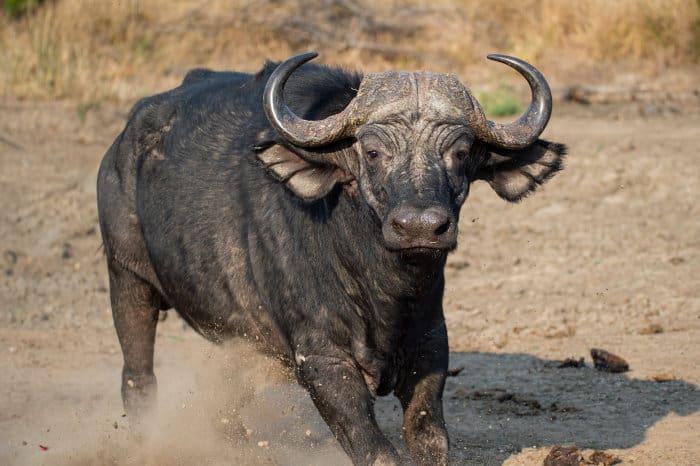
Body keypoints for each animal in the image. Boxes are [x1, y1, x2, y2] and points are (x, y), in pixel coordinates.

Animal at [97, 52, 565, 465]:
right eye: (372, 152)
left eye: (461, 152)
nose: (419, 227)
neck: (382, 291)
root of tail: (123, 145)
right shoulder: (323, 361)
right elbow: (376, 452)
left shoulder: (431, 345)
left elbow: (429, 439)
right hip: (127, 277)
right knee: (137, 377)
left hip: (240, 340)